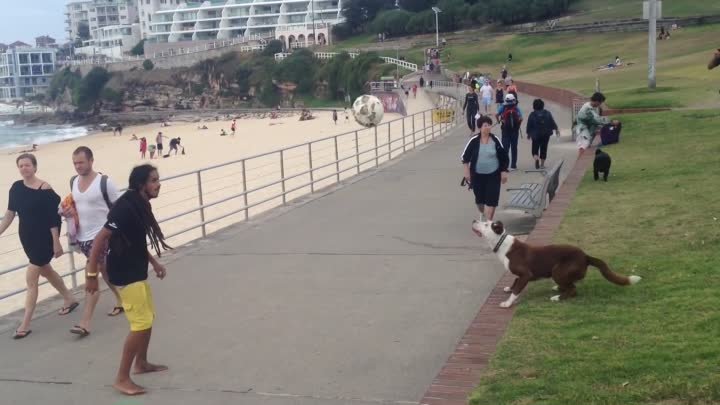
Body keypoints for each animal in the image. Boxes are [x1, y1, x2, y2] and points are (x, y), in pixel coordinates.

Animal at [472, 219, 640, 308]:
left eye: (486, 224)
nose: (474, 220)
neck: (501, 243)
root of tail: (585, 256)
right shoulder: (520, 275)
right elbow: (515, 282)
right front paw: (509, 288)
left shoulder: (526, 274)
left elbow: (517, 290)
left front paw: (507, 303)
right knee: (570, 284)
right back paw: (557, 289)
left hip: (558, 271)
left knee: (573, 289)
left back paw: (558, 297)